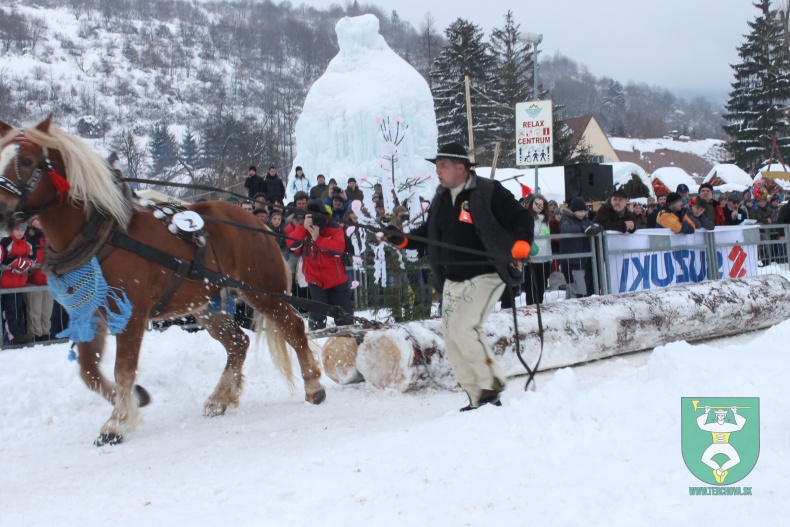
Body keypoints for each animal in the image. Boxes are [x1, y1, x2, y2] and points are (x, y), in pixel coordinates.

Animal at [0, 115, 326, 446]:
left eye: (27, 160)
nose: (0, 208)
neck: (101, 233)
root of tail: (257, 223)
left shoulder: (130, 314)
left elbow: (123, 369)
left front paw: (116, 423)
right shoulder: (88, 314)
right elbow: (89, 371)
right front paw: (135, 401)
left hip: (264, 292)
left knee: (293, 328)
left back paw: (313, 386)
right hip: (206, 304)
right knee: (238, 342)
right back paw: (220, 398)